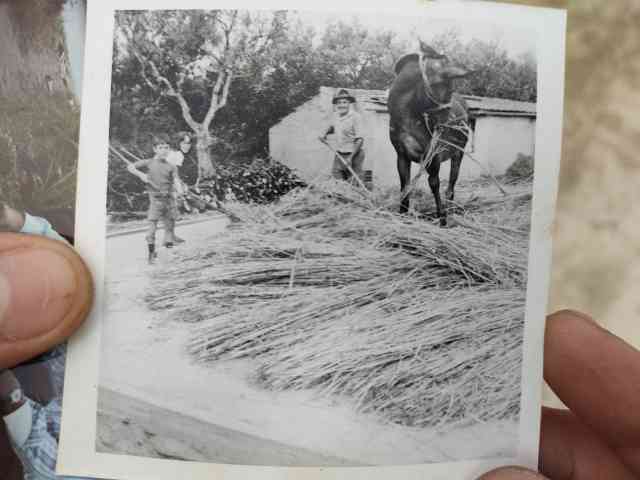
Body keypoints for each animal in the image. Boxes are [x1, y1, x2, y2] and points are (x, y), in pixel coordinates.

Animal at [388, 41, 474, 226]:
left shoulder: (433, 155)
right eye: (443, 88)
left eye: (451, 91)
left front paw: (442, 218)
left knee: (452, 183)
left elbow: (434, 183)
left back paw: (449, 210)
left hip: (458, 153)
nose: (445, 126)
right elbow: (405, 185)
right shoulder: (401, 155)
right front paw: (402, 214)